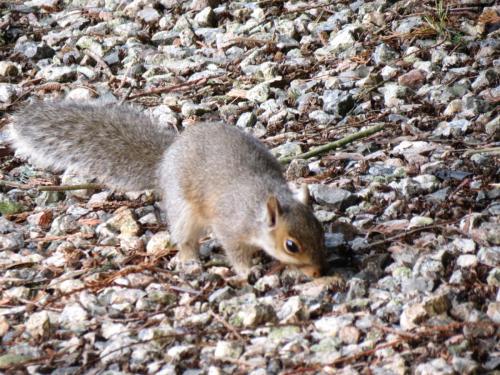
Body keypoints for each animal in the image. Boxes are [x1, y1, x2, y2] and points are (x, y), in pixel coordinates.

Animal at [10, 102, 328, 280]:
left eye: (321, 232)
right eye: (291, 245)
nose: (318, 272)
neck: (258, 207)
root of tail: (167, 155)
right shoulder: (230, 227)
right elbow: (236, 253)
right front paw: (248, 270)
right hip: (184, 210)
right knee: (184, 237)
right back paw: (189, 260)